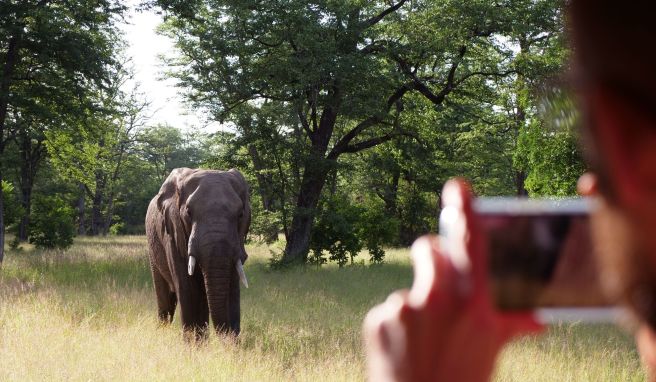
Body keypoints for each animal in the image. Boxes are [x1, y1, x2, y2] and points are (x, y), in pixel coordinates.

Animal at [145, 168, 250, 338]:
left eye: (240, 214)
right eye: (188, 212)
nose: (228, 334)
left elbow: (232, 287)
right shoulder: (174, 232)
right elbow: (188, 288)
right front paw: (193, 343)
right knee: (165, 299)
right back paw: (162, 330)